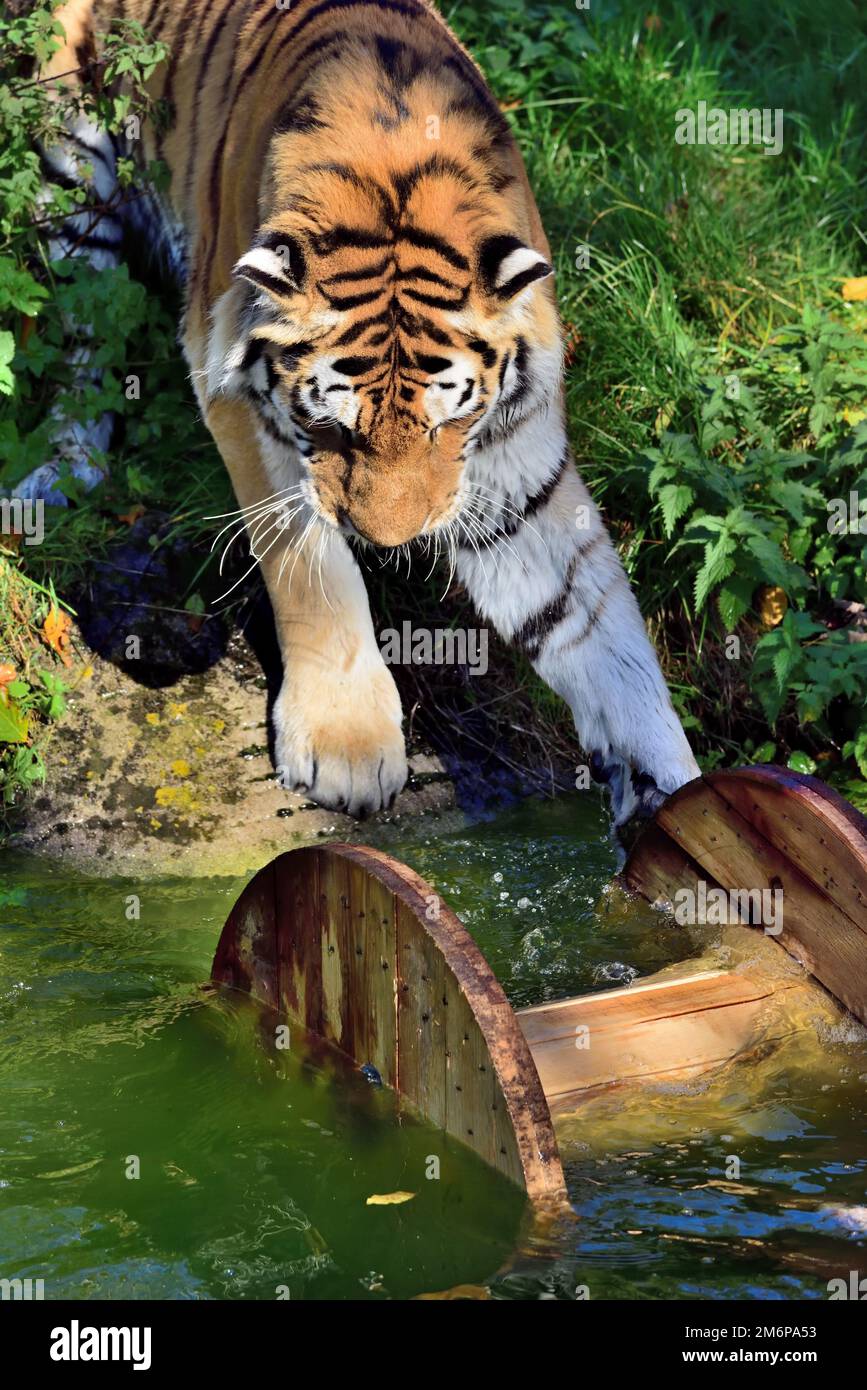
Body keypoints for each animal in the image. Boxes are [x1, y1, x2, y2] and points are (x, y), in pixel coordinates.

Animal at [19, 0, 700, 828]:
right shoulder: (238, 393)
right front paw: (345, 743)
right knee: (79, 341)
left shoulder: (511, 463)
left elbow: (597, 627)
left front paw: (674, 793)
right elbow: (308, 563)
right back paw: (56, 474)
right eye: (333, 428)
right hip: (69, 177)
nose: (389, 542)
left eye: (449, 424)